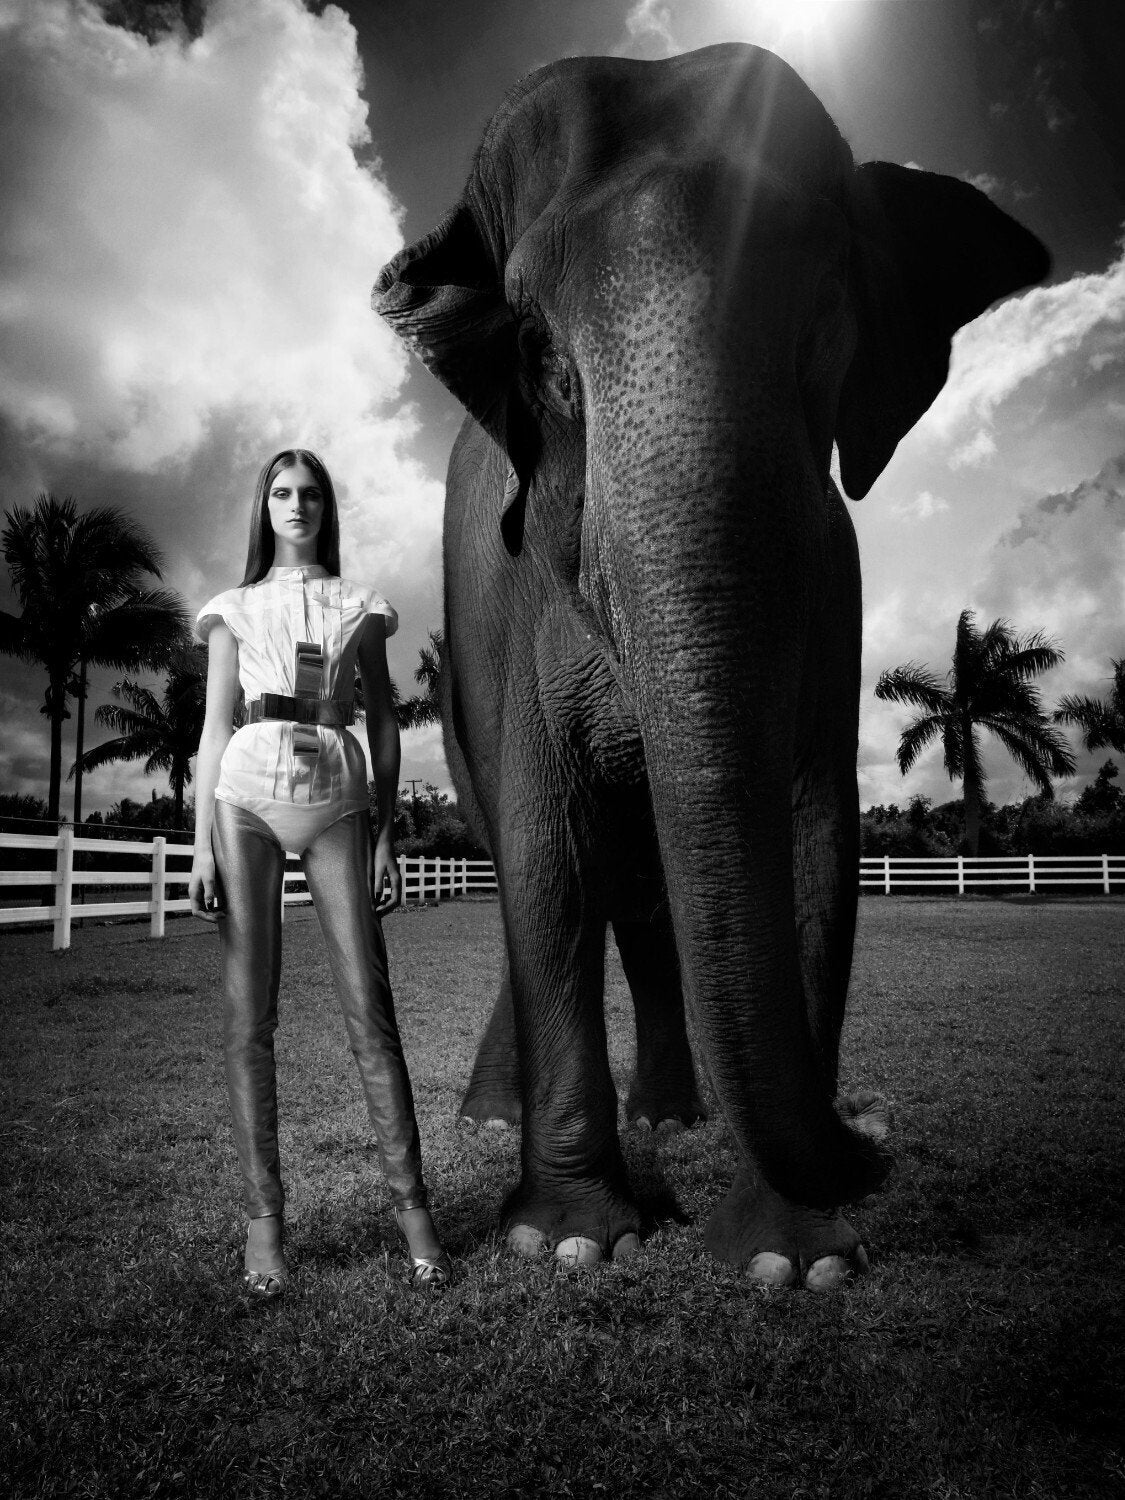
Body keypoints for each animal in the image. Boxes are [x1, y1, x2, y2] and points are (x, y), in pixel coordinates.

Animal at [374, 43, 1049, 1286]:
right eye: (542, 355)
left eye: (824, 321)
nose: (870, 1122)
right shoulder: (515, 605)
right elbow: (546, 848)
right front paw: (569, 1243)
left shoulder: (836, 584)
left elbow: (815, 833)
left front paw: (796, 1261)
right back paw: (501, 1122)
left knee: (646, 903)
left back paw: (670, 1119)